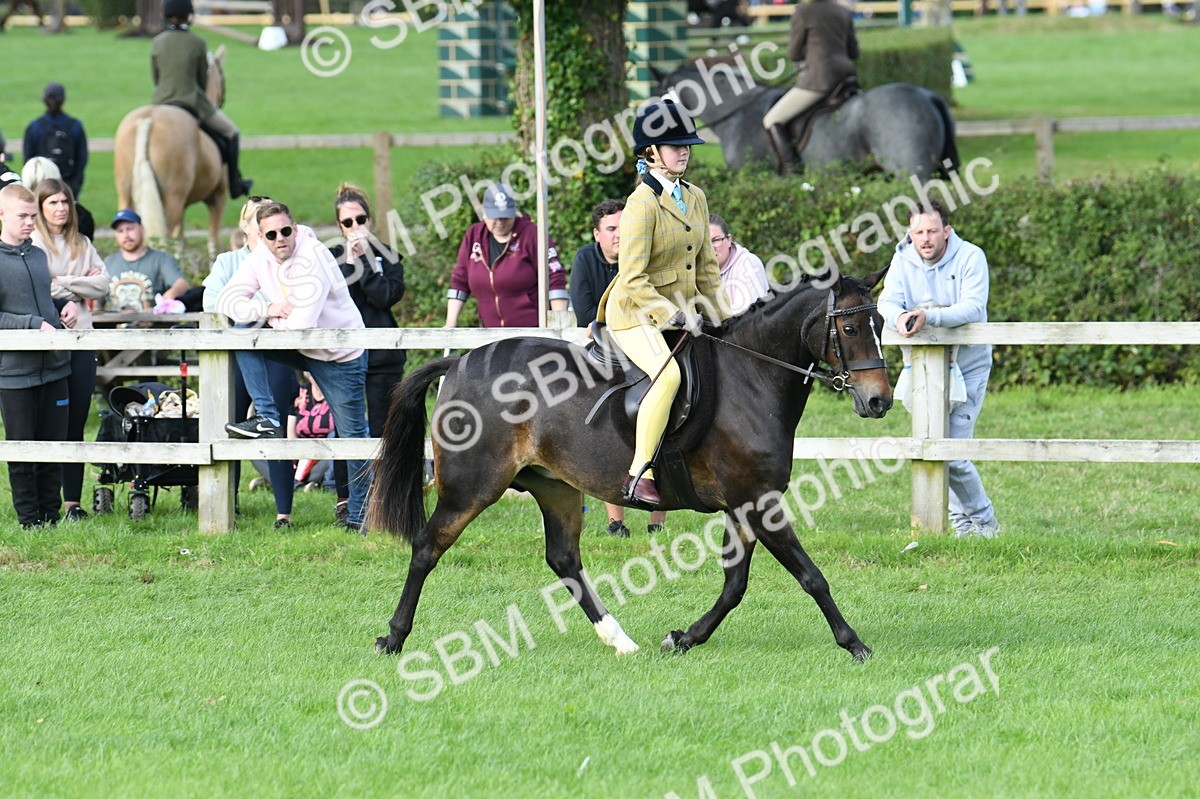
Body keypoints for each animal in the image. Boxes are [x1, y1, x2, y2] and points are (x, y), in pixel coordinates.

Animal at [113, 46, 228, 259]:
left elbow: (180, 241)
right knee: (164, 239)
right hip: (172, 199)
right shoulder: (218, 197)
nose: (220, 100)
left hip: (125, 194)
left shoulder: (184, 205)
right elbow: (214, 241)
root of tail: (148, 119)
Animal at [369, 269, 894, 663]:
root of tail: (458, 362)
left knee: (564, 559)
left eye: (882, 322)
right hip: (472, 487)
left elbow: (735, 584)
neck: (752, 376)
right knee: (427, 547)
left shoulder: (746, 504)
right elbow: (810, 575)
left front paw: (684, 638)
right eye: (849, 329)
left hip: (556, 487)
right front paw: (855, 644)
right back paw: (393, 637)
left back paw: (618, 638)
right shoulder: (758, 501)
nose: (879, 401)